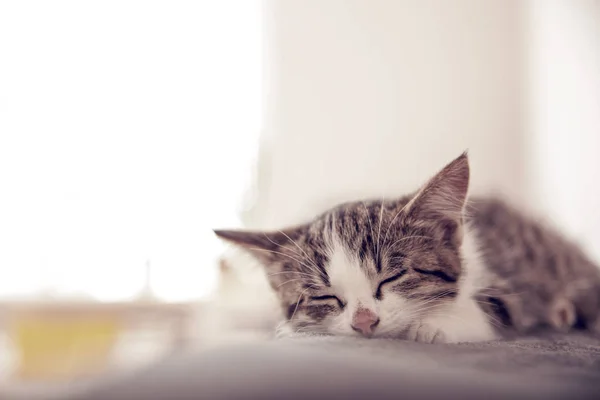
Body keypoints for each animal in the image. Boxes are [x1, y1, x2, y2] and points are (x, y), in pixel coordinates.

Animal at [213, 153, 596, 344]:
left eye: (391, 278)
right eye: (324, 296)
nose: (365, 322)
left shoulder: (511, 288)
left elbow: (496, 310)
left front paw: (435, 324)